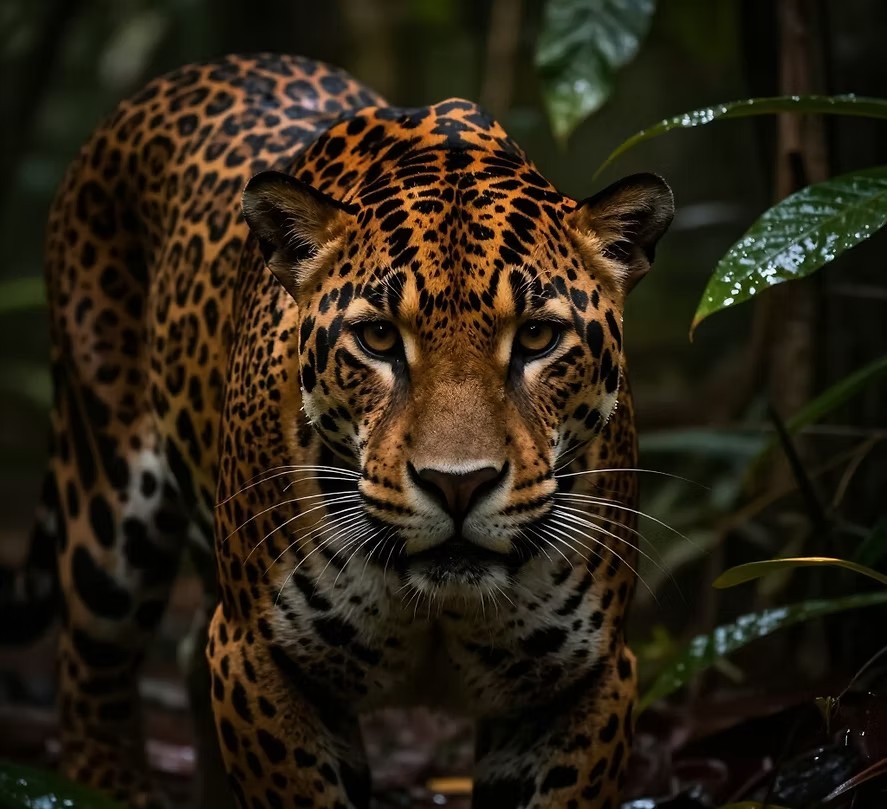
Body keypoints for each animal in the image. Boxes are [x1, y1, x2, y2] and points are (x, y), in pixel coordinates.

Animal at [0, 53, 673, 809]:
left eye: (537, 337)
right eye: (378, 338)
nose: (457, 486)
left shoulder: (583, 679)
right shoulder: (257, 654)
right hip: (106, 503)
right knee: (91, 669)